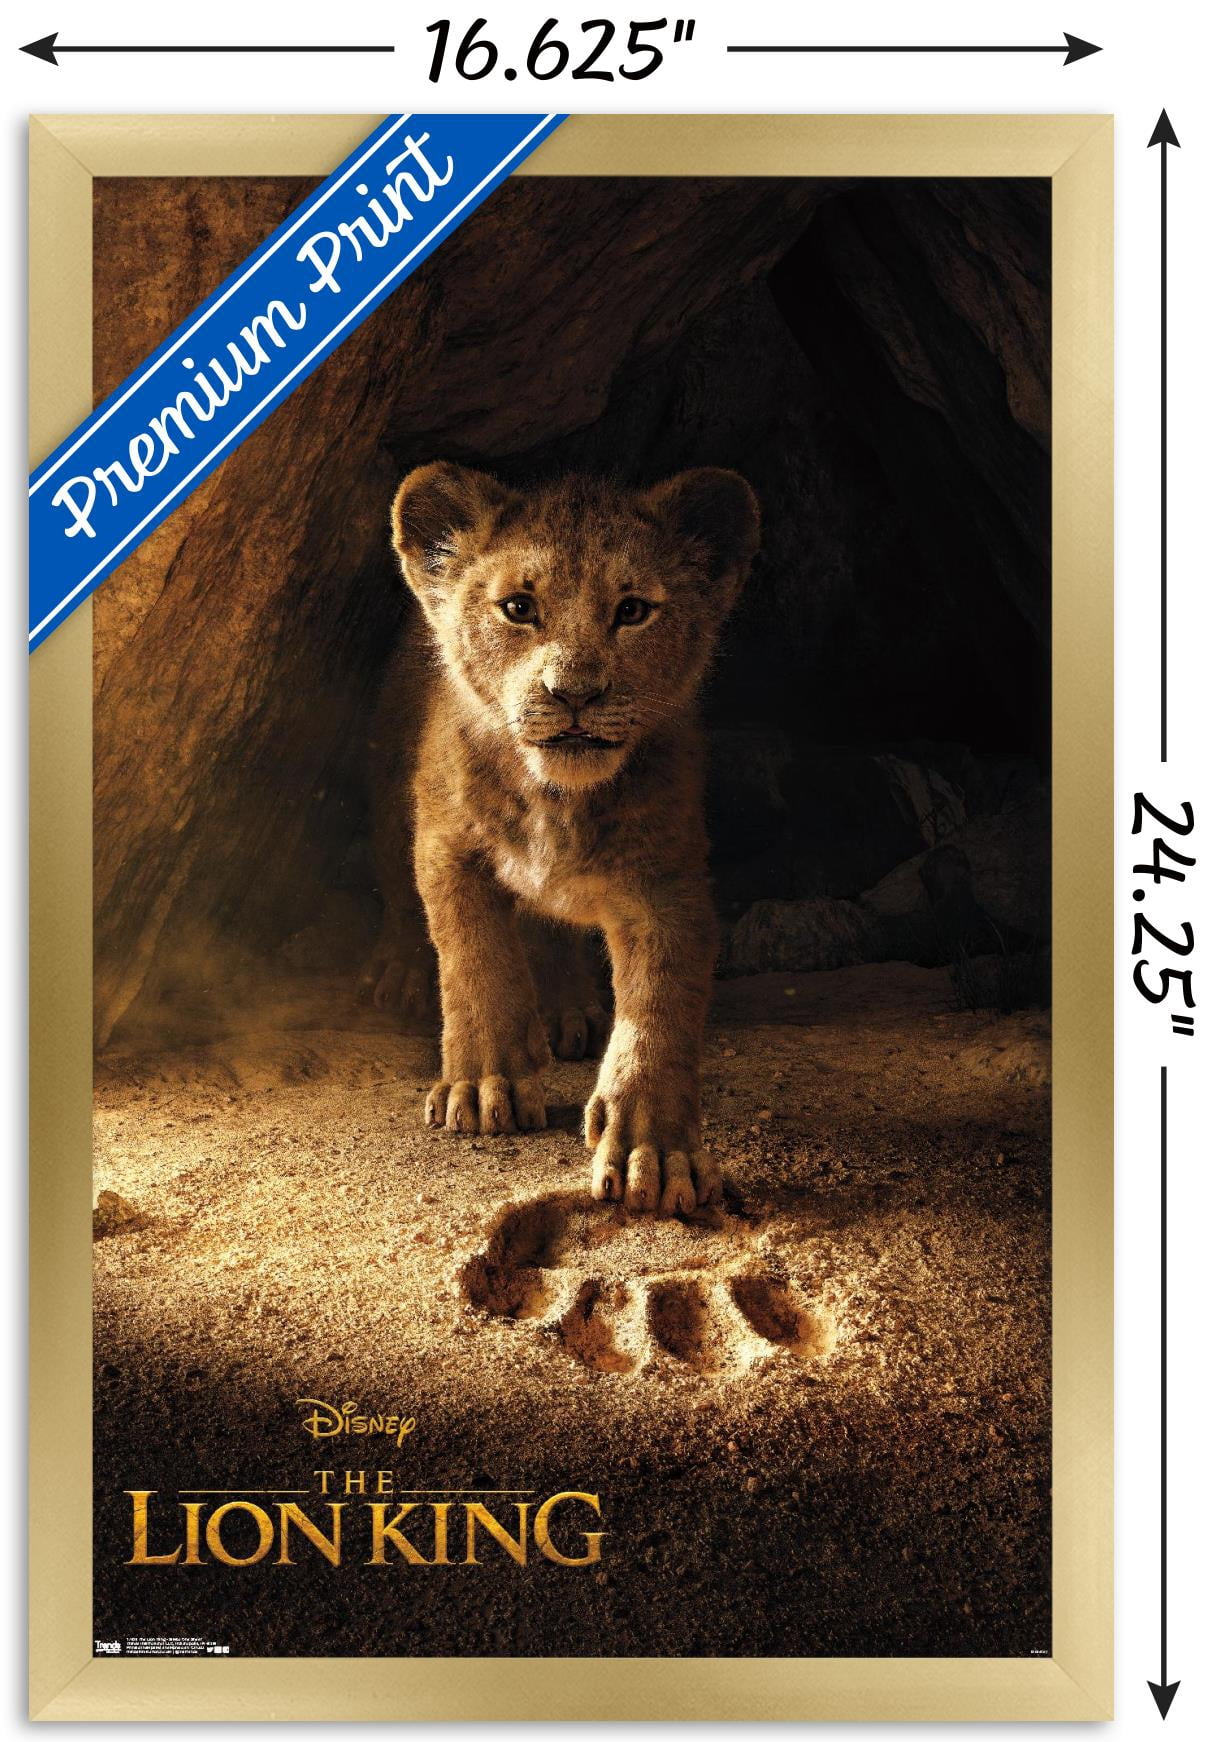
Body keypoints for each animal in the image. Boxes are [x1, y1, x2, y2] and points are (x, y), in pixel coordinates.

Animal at [366, 463, 760, 1214]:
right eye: (518, 607)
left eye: (632, 610)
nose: (574, 692)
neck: (557, 797)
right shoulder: (447, 846)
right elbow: (474, 960)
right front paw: (482, 1085)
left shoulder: (666, 882)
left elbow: (659, 1007)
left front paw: (652, 1152)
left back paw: (567, 1009)